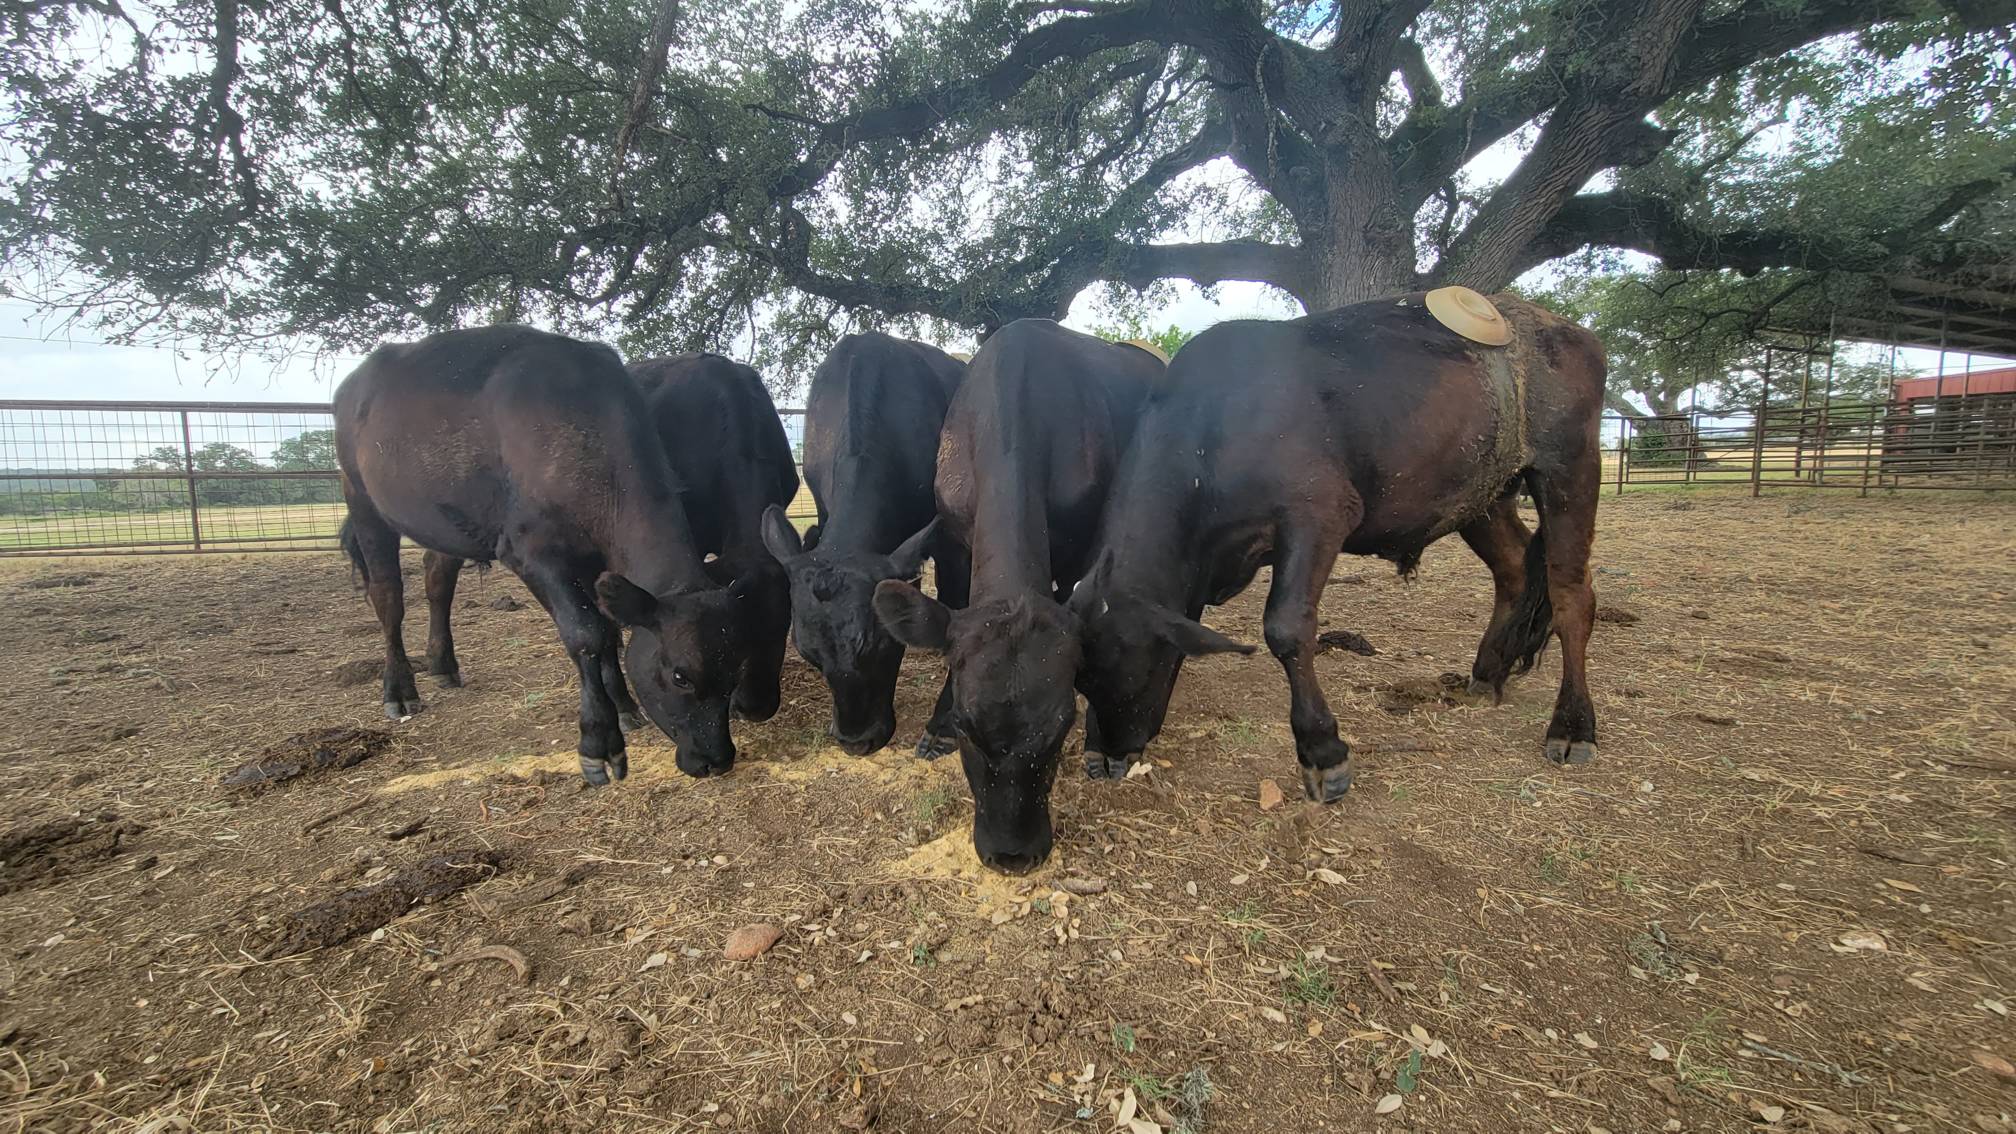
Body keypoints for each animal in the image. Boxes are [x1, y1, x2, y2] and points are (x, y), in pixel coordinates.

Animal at [338, 326, 762, 782]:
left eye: (737, 669)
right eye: (680, 676)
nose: (716, 759)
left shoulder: (597, 560)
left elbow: (609, 629)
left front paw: (625, 707)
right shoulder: (531, 552)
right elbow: (587, 633)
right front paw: (600, 740)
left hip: (444, 522)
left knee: (438, 579)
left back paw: (443, 665)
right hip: (361, 499)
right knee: (387, 596)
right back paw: (399, 689)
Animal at [870, 322, 1169, 867]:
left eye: (1062, 726)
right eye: (966, 726)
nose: (1012, 855)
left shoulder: (1074, 548)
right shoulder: (953, 538)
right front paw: (936, 726)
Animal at [1072, 296, 1604, 799]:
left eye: (1126, 669)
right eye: (1079, 681)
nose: (1105, 759)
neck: (1216, 431)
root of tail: (1559, 324)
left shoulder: (1319, 514)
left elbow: (1286, 628)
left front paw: (1322, 750)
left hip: (1569, 469)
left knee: (1571, 596)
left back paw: (1573, 726)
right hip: (1482, 497)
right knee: (1514, 570)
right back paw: (1490, 672)